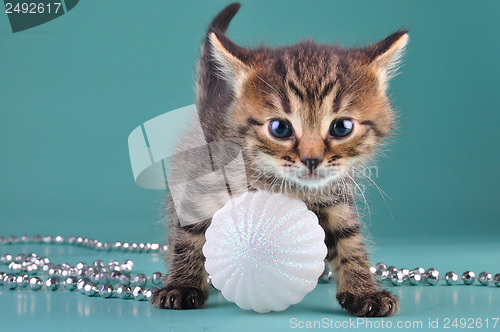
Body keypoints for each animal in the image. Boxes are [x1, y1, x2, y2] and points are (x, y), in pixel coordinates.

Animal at [151, 2, 406, 318]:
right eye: (280, 128)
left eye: (342, 127)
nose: (312, 159)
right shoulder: (200, 187)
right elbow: (188, 237)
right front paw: (181, 285)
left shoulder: (336, 196)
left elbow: (350, 239)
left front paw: (363, 290)